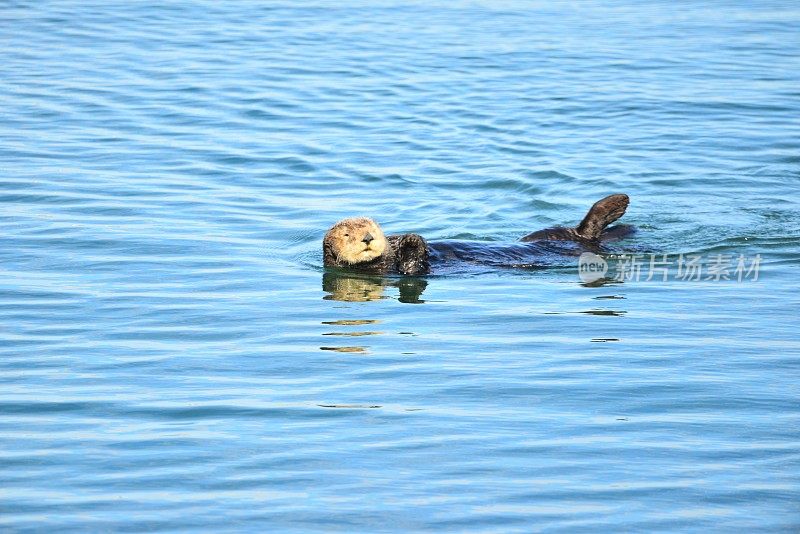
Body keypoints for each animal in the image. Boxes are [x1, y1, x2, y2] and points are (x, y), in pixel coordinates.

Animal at [322, 193, 636, 276]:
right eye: (348, 235)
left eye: (372, 228)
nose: (369, 238)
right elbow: (413, 269)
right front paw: (412, 242)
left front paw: (406, 238)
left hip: (548, 234)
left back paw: (617, 204)